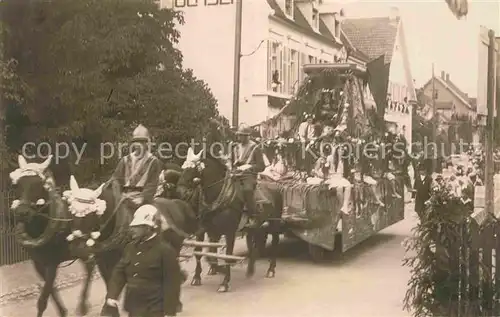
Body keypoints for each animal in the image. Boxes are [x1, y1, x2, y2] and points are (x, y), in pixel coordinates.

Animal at [8, 155, 94, 316]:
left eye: (39, 184)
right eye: (17, 185)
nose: (22, 213)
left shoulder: (53, 263)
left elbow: (43, 299)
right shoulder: (38, 263)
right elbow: (51, 290)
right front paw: (62, 311)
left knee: (91, 267)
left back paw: (83, 305)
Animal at [64, 174, 199, 314]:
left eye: (91, 214)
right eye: (72, 213)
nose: (77, 247)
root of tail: (176, 203)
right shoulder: (102, 260)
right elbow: (110, 281)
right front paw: (111, 308)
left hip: (175, 246)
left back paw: (177, 302)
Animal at [177, 146, 284, 292]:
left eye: (193, 169)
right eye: (183, 167)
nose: (180, 191)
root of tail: (276, 185)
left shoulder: (229, 232)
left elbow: (227, 255)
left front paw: (224, 282)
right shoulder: (204, 230)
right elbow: (201, 253)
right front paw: (198, 277)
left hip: (275, 223)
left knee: (274, 242)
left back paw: (271, 269)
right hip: (256, 226)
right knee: (254, 244)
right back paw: (250, 270)